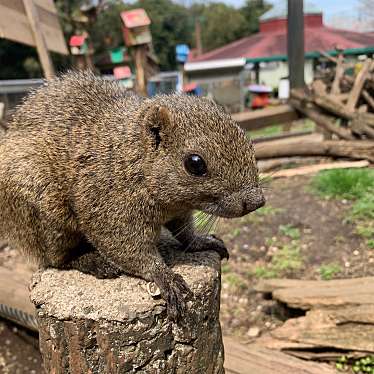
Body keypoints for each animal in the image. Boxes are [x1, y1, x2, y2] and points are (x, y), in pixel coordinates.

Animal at [0, 71, 264, 320]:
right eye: (195, 163)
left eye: (248, 141)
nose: (256, 201)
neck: (132, 159)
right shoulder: (108, 208)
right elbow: (128, 248)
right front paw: (164, 276)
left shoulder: (179, 210)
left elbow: (184, 232)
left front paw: (200, 241)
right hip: (44, 214)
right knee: (56, 259)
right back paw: (92, 262)